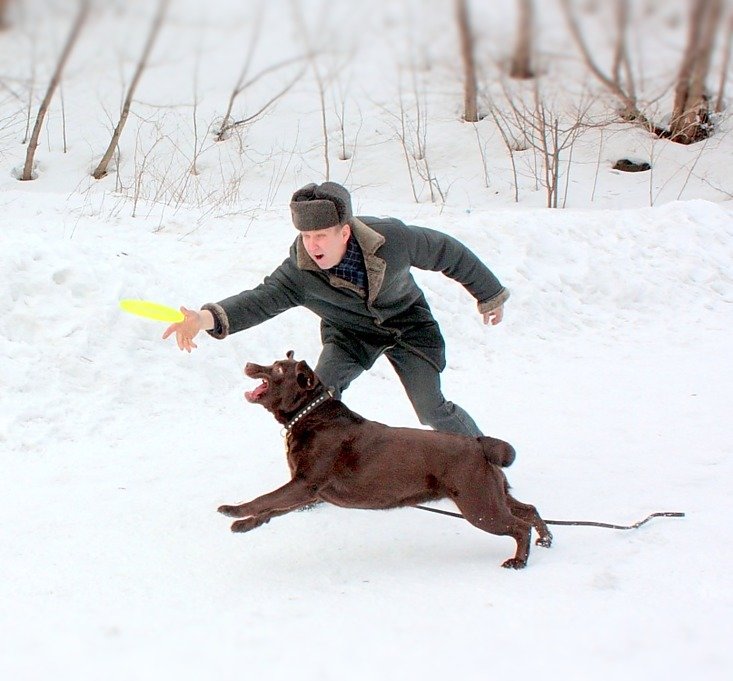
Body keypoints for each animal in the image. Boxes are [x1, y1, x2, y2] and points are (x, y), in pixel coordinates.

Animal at [220, 350, 552, 568]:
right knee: (529, 509)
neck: (310, 414)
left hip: (479, 506)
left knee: (519, 526)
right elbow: (271, 509)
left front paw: (233, 510)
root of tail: (479, 444)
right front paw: (244, 525)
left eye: (277, 370)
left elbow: (264, 499)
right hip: (491, 494)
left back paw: (518, 561)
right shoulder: (310, 491)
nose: (249, 364)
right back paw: (546, 539)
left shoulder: (305, 484)